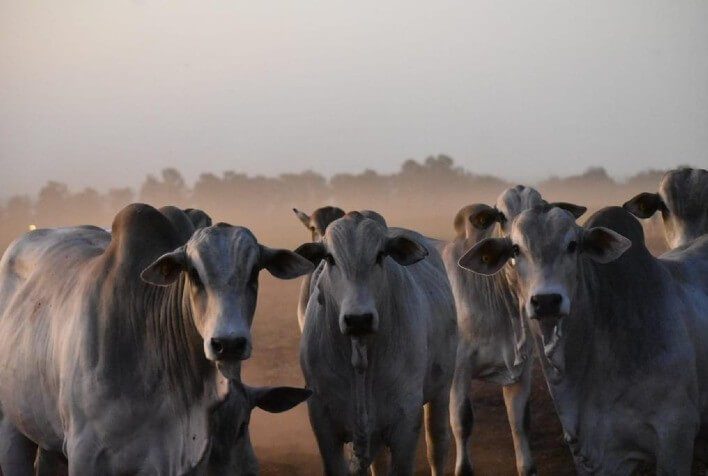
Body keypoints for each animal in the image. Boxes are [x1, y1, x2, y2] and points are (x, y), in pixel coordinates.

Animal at [294, 213, 456, 476]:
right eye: (330, 258)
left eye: (380, 255)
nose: (358, 319)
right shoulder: (322, 420)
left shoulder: (406, 423)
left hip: (441, 390)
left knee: (438, 444)